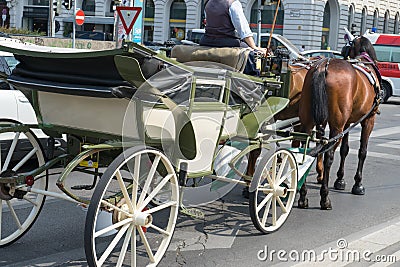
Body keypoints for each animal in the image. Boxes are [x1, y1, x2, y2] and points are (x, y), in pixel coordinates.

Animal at [298, 35, 380, 210]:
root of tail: (324, 65)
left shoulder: (348, 123)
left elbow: (345, 149)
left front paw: (340, 180)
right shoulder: (369, 120)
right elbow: (362, 151)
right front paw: (358, 184)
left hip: (309, 121)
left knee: (304, 149)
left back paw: (303, 196)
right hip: (337, 125)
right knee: (328, 155)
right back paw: (324, 197)